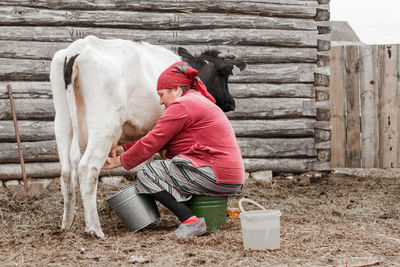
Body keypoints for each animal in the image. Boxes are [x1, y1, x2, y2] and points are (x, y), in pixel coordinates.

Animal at [50, 35, 181, 239]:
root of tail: (77, 48)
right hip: (103, 125)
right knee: (87, 168)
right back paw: (94, 229)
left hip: (62, 121)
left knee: (65, 171)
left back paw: (66, 225)